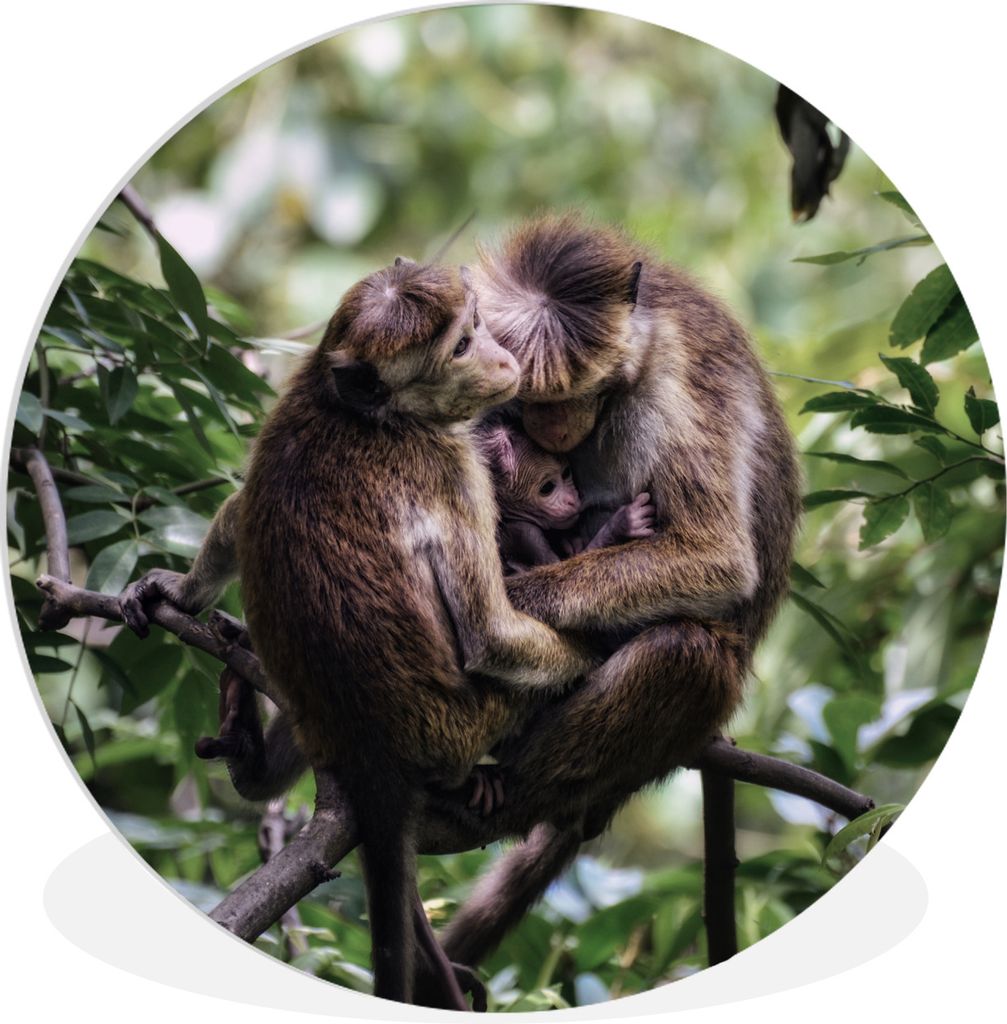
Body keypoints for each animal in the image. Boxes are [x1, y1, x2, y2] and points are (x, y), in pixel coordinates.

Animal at [475, 417, 656, 572]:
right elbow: (555, 566)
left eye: (566, 473)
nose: (571, 500)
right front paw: (623, 523)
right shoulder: (525, 534)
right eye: (547, 488)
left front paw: (570, 542)